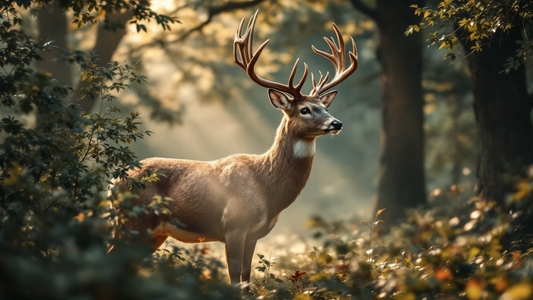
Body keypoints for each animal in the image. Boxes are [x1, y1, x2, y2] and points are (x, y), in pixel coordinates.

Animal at [110, 11, 358, 290]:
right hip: (134, 220)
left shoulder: (254, 234)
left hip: (153, 232)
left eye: (324, 107)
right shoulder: (234, 225)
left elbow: (247, 279)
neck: (267, 188)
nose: (336, 123)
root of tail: (113, 183)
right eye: (305, 109)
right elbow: (235, 278)